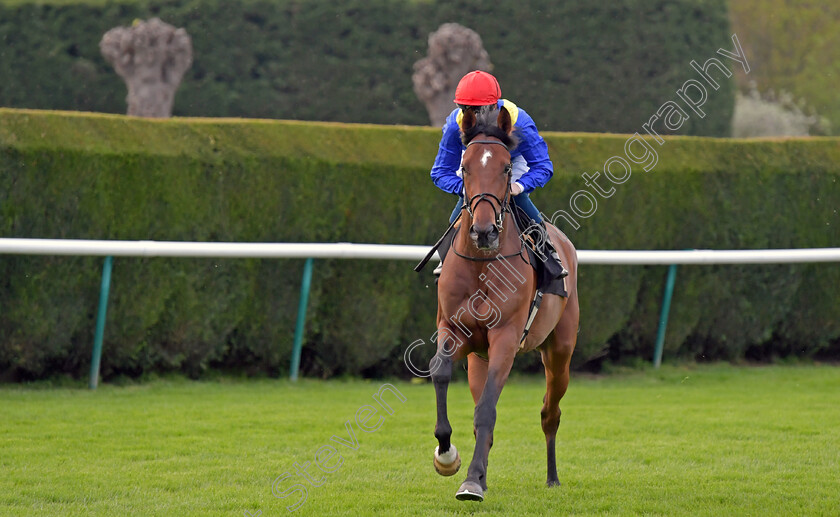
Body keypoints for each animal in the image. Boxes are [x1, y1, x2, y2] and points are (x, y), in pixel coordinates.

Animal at [434, 106, 576, 500]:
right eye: (465, 167)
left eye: (506, 169)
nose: (484, 231)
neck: (482, 263)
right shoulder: (453, 330)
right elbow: (440, 373)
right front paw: (447, 455)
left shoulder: (506, 338)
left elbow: (487, 410)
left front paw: (470, 481)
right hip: (478, 359)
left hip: (560, 350)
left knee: (550, 413)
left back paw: (552, 477)